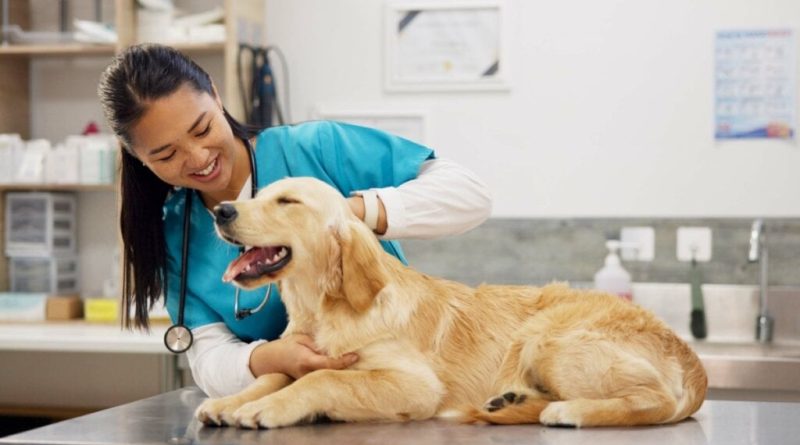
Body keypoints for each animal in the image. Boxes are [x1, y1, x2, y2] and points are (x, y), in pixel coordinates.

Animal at [194, 176, 708, 426]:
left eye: (288, 202)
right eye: (260, 195)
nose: (221, 210)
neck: (323, 310)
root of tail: (692, 360)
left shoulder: (414, 385)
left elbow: (322, 378)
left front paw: (265, 409)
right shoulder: (299, 354)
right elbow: (275, 373)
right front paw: (232, 401)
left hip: (549, 337)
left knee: (654, 401)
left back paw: (569, 411)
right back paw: (512, 400)